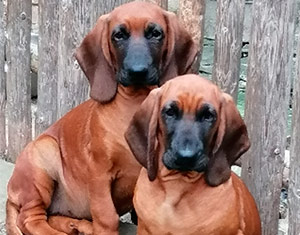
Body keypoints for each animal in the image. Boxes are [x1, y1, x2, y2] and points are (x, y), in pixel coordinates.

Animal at [5, 2, 198, 235]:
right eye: (118, 35)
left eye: (155, 33)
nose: (138, 71)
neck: (135, 103)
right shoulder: (99, 173)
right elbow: (107, 216)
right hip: (44, 155)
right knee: (29, 219)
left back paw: (76, 225)